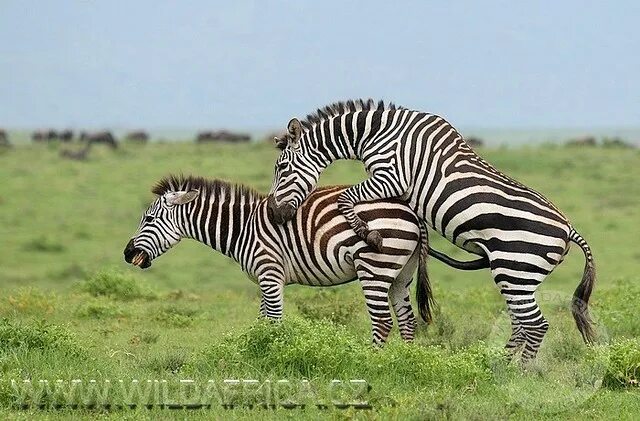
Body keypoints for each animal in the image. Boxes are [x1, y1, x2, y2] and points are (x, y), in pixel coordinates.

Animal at [122, 174, 438, 344]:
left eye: (148, 219)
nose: (126, 254)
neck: (243, 227)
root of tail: (412, 212)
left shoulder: (269, 272)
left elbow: (273, 321)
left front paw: (271, 359)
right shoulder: (265, 278)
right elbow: (263, 320)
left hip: (374, 268)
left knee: (383, 321)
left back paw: (371, 361)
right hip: (400, 273)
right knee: (407, 320)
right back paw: (402, 360)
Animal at [264, 97, 596, 360]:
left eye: (281, 169)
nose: (274, 213)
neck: (376, 133)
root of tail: (569, 230)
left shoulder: (391, 177)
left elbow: (346, 198)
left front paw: (367, 232)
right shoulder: (395, 188)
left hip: (515, 271)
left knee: (536, 325)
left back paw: (520, 374)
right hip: (519, 277)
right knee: (521, 325)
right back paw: (499, 365)